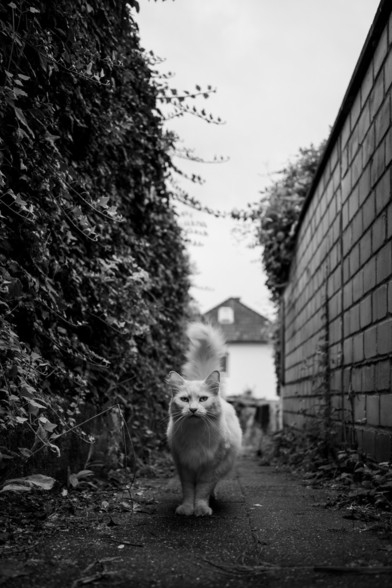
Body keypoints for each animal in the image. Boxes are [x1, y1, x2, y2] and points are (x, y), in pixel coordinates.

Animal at [165, 322, 242, 520]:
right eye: (185, 400)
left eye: (203, 399)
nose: (193, 410)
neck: (195, 434)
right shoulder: (184, 465)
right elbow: (188, 491)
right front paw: (187, 508)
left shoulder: (210, 467)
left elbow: (202, 490)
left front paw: (200, 509)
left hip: (223, 465)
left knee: (212, 486)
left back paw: (212, 498)